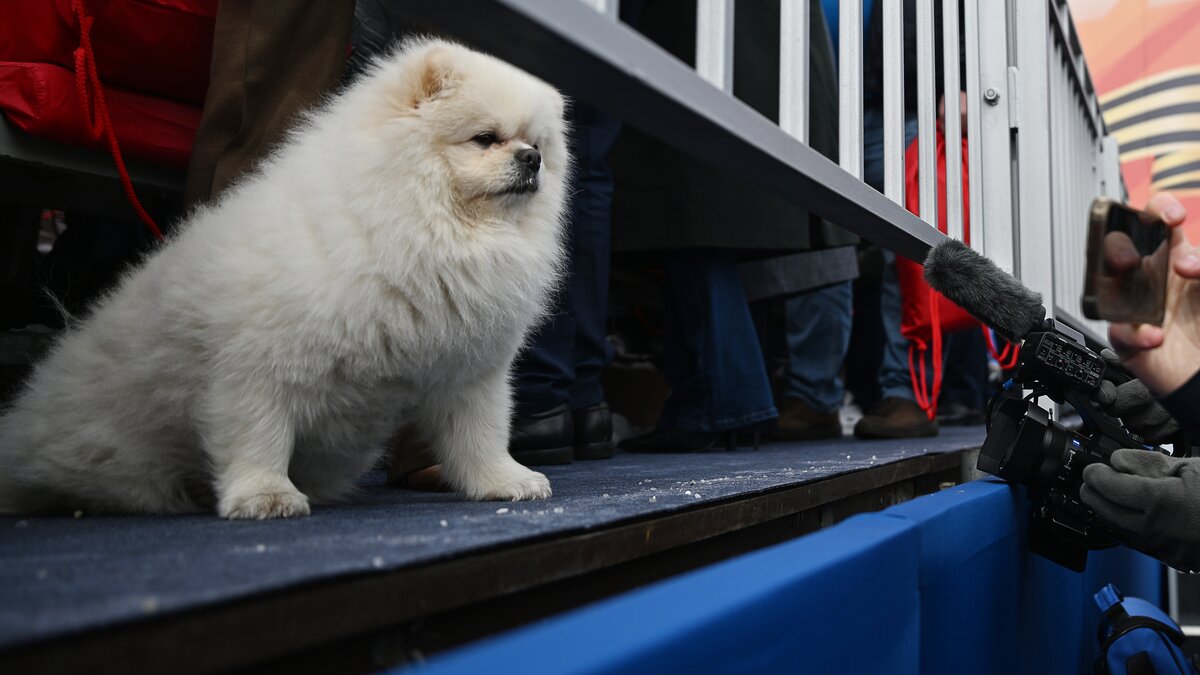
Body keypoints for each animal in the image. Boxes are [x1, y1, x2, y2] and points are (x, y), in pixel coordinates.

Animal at [0, 39, 568, 516]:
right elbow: (259, 436)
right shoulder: (258, 365)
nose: (531, 159)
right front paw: (265, 495)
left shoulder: (470, 370)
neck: (420, 222)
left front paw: (504, 481)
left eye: (536, 143)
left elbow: (481, 436)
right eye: (485, 139)